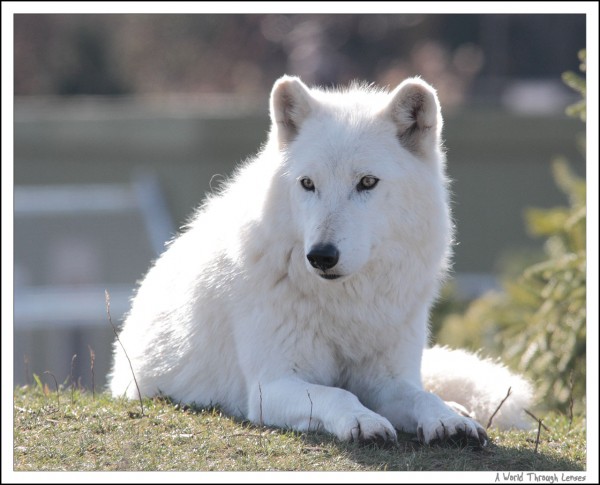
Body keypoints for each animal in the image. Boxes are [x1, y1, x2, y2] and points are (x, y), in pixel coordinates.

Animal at [110, 74, 532, 446]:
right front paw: (365, 421)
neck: (345, 303)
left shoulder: (389, 380)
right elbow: (338, 394)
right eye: (308, 184)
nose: (321, 256)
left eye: (367, 182)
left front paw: (448, 421)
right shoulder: (271, 385)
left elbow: (421, 395)